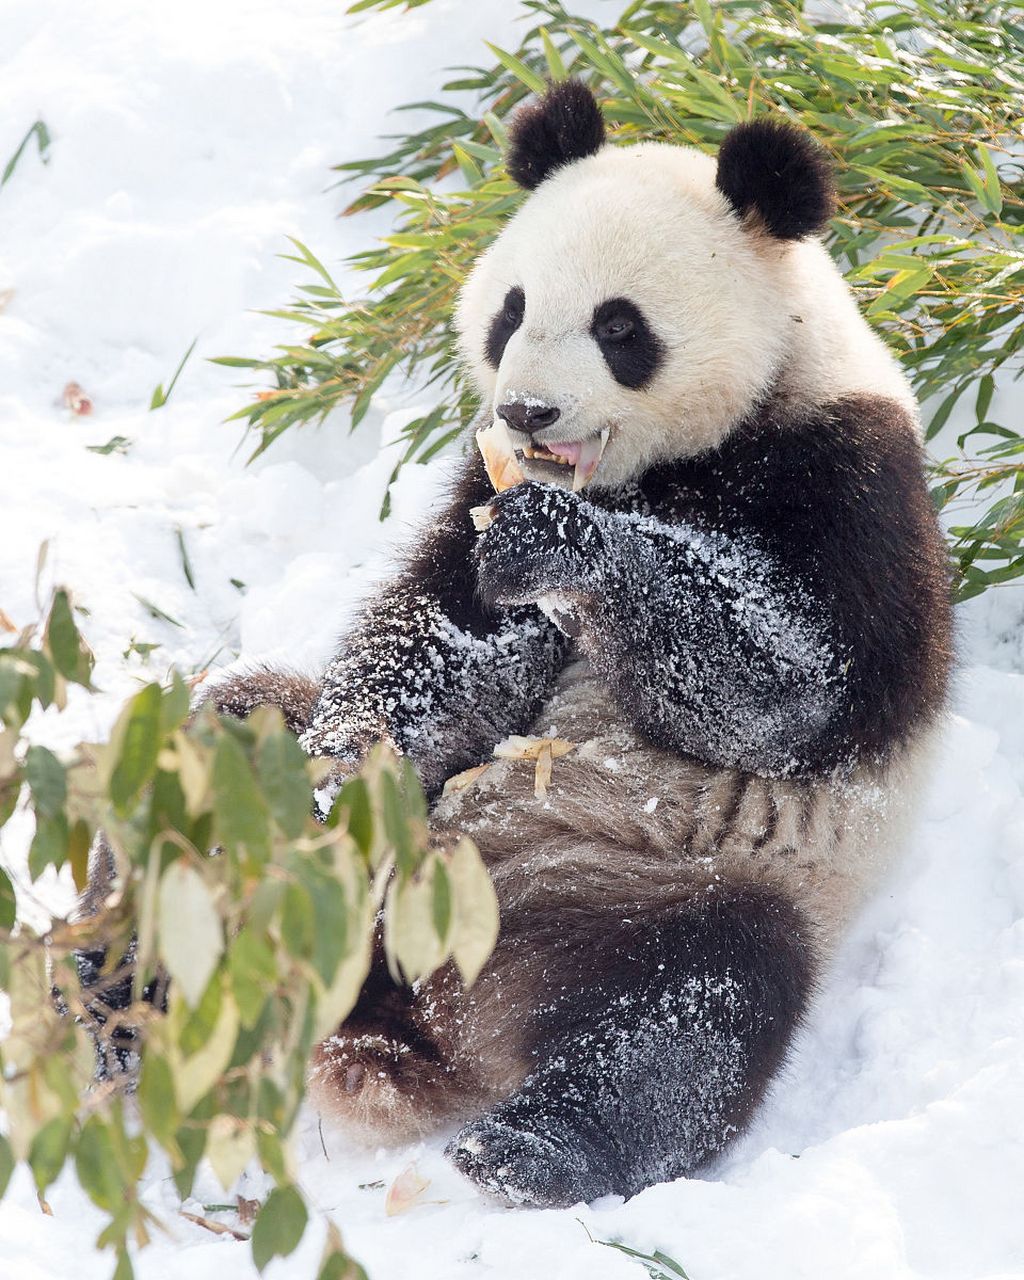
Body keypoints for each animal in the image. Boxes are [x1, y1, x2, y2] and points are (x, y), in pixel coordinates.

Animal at [212, 82, 957, 1208]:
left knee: (687, 1014)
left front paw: (565, 546)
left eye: (619, 326)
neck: (663, 467)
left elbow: (784, 691)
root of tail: (428, 1007)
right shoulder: (477, 485)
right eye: (512, 308)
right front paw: (341, 775)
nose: (526, 409)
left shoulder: (851, 483)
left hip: (665, 888)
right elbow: (439, 644)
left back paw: (525, 1151)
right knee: (228, 731)